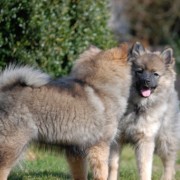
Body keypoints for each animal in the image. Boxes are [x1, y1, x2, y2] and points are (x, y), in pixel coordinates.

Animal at [0, 44, 131, 180]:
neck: (100, 88)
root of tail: (4, 90)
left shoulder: (76, 151)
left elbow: (80, 174)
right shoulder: (100, 145)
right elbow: (102, 173)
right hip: (13, 145)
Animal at [107, 41, 180, 180]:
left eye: (155, 74)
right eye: (139, 71)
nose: (146, 81)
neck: (138, 106)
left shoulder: (145, 140)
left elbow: (144, 167)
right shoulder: (117, 138)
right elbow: (113, 165)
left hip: (165, 140)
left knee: (169, 164)